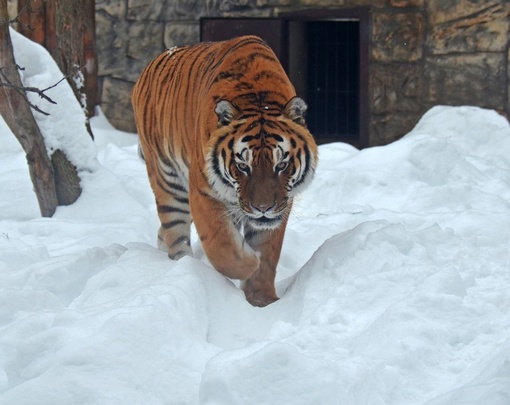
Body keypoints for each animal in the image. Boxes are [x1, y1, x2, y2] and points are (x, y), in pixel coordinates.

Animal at [129, 35, 316, 306]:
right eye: (242, 166)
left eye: (281, 165)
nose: (263, 208)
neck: (258, 97)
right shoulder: (203, 192)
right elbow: (223, 247)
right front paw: (249, 262)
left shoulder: (281, 205)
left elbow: (268, 254)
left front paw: (262, 301)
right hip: (168, 180)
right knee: (175, 233)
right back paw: (183, 266)